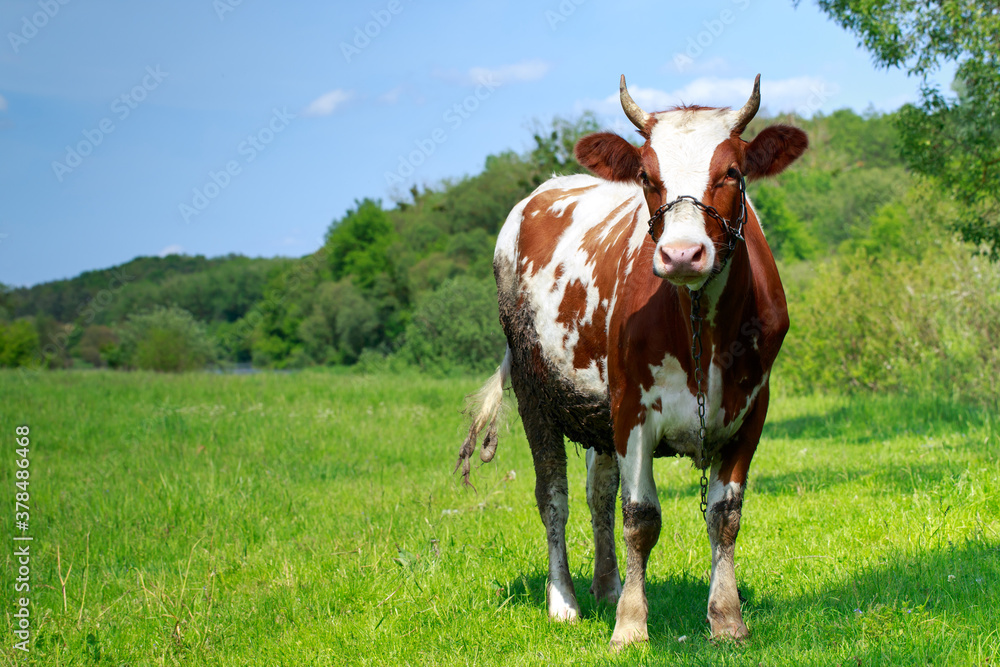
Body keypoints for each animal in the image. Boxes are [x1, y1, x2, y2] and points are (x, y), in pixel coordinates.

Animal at [458, 75, 808, 648]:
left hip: (597, 414)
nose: (683, 254)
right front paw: (630, 624)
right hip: (537, 392)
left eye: (732, 172)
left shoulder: (751, 409)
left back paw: (607, 585)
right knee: (553, 495)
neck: (701, 329)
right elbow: (641, 518)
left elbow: (725, 516)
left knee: (598, 492)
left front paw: (726, 618)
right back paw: (565, 600)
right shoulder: (631, 409)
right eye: (647, 176)